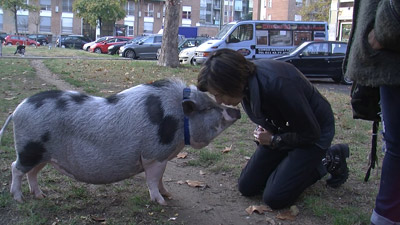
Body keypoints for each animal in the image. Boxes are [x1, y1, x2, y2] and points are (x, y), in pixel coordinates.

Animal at [0, 78, 241, 205]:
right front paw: (161, 202)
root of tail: (17, 110)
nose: (236, 111)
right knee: (15, 167)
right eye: (208, 108)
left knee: (31, 172)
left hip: (42, 154)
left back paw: (40, 196)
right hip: (30, 148)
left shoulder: (162, 157)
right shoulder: (153, 155)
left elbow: (161, 179)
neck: (178, 121)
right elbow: (153, 180)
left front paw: (168, 195)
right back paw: (19, 199)